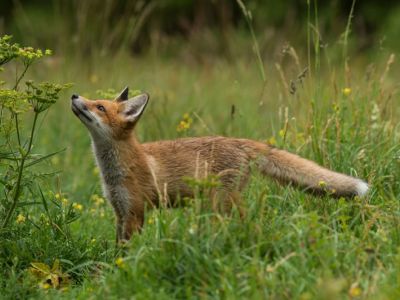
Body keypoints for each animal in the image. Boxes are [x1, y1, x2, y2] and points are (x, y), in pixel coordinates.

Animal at [71, 86, 368, 241]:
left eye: (99, 107)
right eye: (94, 101)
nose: (74, 96)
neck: (115, 170)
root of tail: (239, 140)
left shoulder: (135, 211)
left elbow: (128, 251)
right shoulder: (120, 211)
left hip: (222, 203)